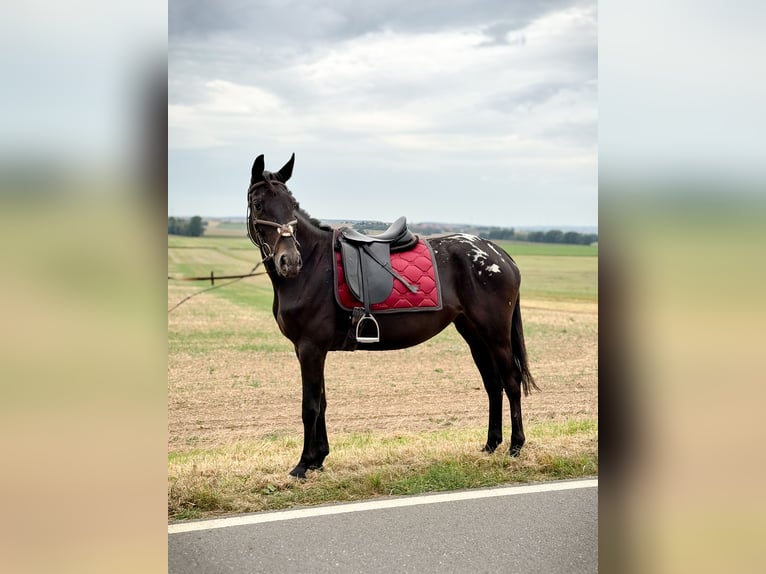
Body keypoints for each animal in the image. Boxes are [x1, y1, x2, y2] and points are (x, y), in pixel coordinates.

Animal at [249, 154, 536, 482]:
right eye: (258, 204)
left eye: (291, 203)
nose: (290, 261)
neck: (313, 265)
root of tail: (498, 254)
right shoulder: (309, 350)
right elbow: (321, 401)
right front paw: (318, 458)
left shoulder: (310, 348)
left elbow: (310, 406)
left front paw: (303, 464)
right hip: (475, 335)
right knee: (493, 384)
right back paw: (491, 444)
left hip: (496, 334)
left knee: (511, 381)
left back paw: (515, 446)